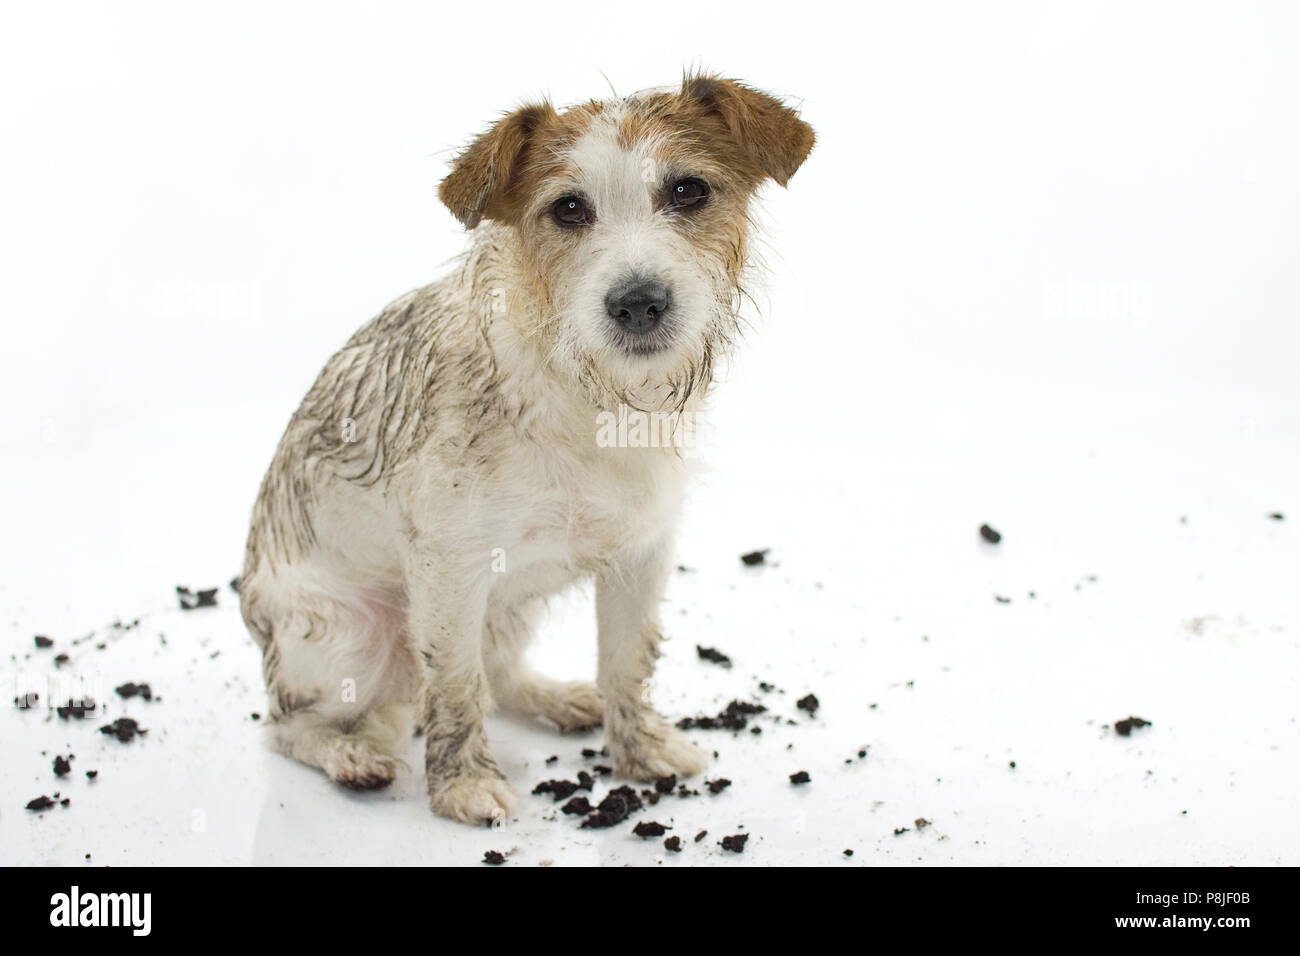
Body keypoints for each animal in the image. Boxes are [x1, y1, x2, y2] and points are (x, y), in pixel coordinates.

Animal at [239, 70, 811, 827]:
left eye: (689, 191)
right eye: (568, 208)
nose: (638, 302)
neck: (586, 399)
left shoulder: (641, 553)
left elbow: (625, 662)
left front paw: (642, 750)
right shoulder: (450, 569)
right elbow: (454, 687)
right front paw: (462, 786)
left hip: (509, 607)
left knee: (501, 674)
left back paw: (558, 699)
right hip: (349, 636)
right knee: (288, 726)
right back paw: (350, 754)